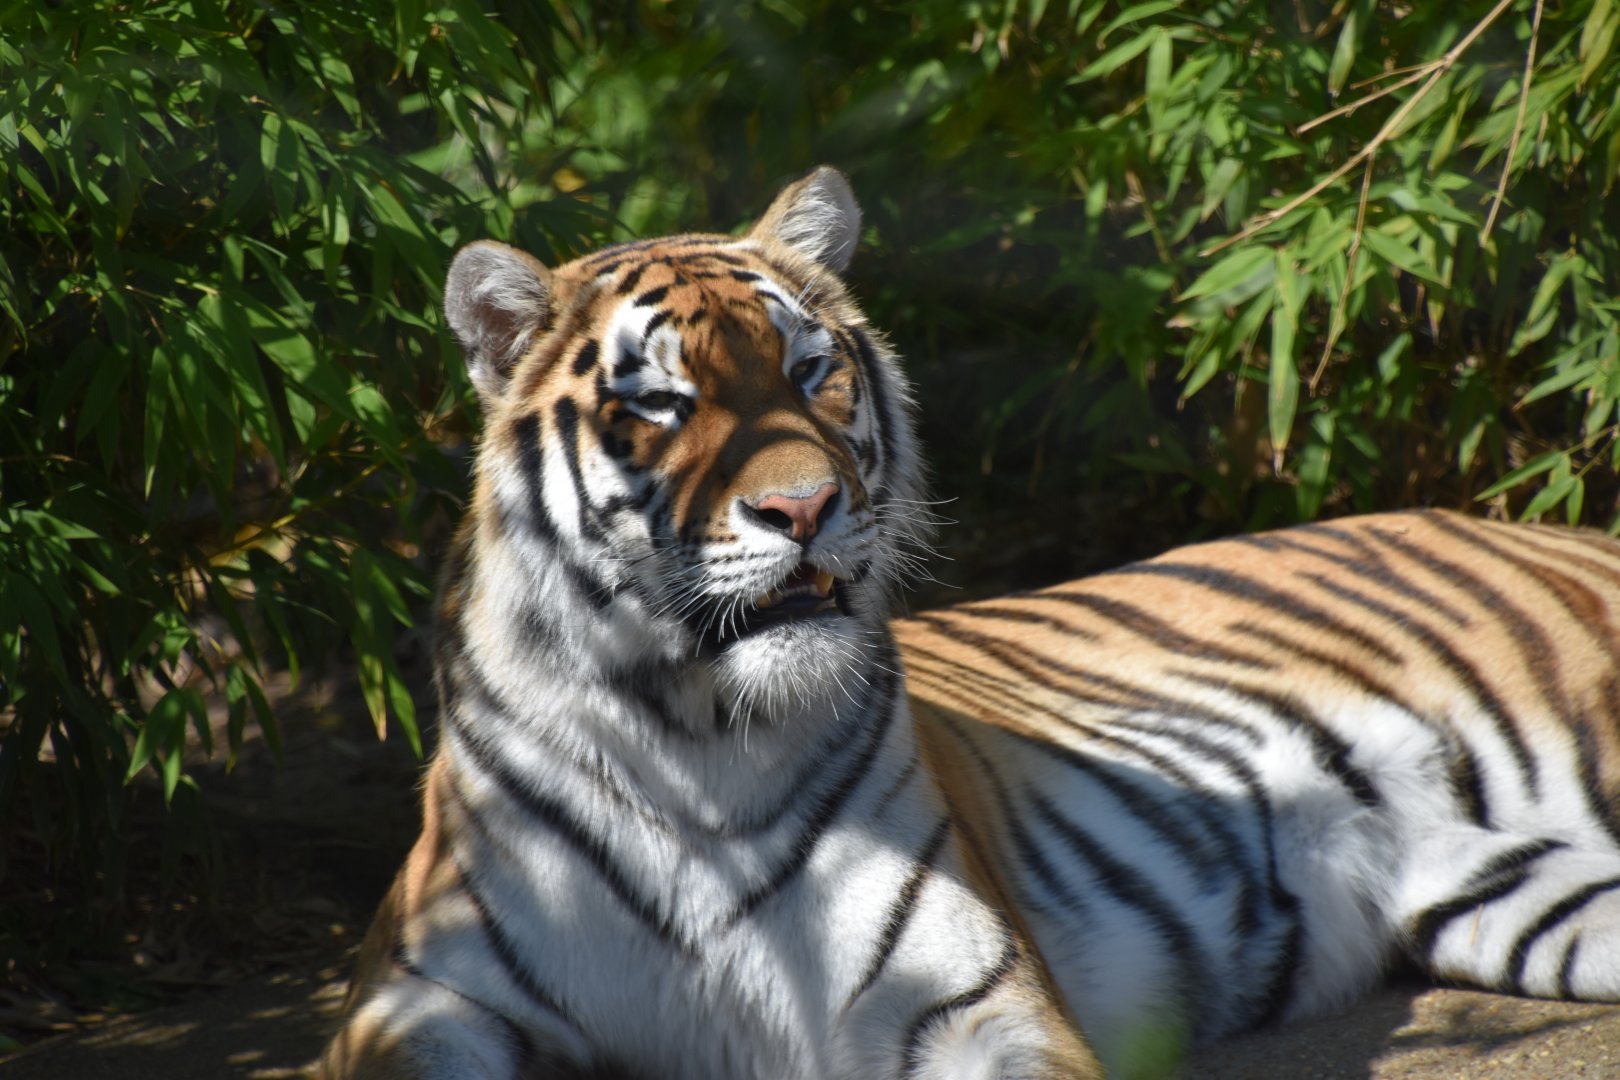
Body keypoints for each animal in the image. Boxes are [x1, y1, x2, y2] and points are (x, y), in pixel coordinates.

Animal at [319, 166, 1620, 1080]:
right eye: (664, 401)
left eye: (810, 370)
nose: (804, 506)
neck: (698, 738)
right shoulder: (412, 999)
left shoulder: (969, 1001)